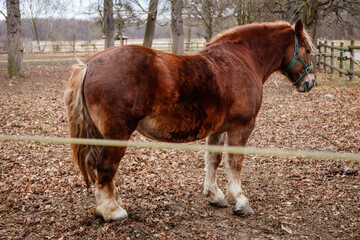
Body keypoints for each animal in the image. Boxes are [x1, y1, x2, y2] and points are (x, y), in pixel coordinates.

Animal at [64, 19, 316, 221]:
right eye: (307, 50)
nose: (310, 82)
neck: (242, 60)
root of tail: (89, 65)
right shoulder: (242, 127)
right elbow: (235, 163)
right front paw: (240, 201)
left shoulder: (218, 128)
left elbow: (213, 160)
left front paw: (214, 195)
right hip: (117, 134)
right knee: (105, 167)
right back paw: (112, 211)